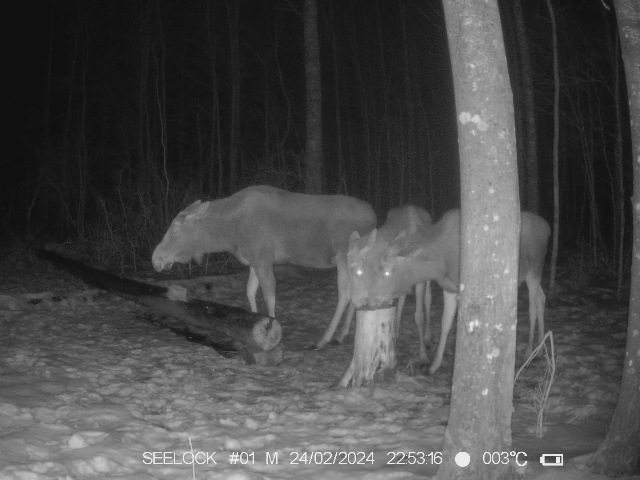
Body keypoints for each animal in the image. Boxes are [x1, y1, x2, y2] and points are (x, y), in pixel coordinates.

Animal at [152, 185, 377, 347]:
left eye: (175, 230)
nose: (155, 258)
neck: (228, 234)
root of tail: (374, 219)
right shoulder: (254, 260)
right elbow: (250, 290)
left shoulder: (263, 258)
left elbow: (269, 294)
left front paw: (270, 330)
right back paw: (341, 335)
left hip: (343, 256)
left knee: (345, 294)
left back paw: (325, 338)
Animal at [350, 209, 550, 374]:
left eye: (385, 270)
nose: (370, 301)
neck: (441, 264)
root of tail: (548, 228)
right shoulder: (448, 288)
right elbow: (445, 323)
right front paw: (434, 364)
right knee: (541, 298)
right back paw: (540, 350)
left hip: (535, 269)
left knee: (532, 307)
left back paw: (528, 353)